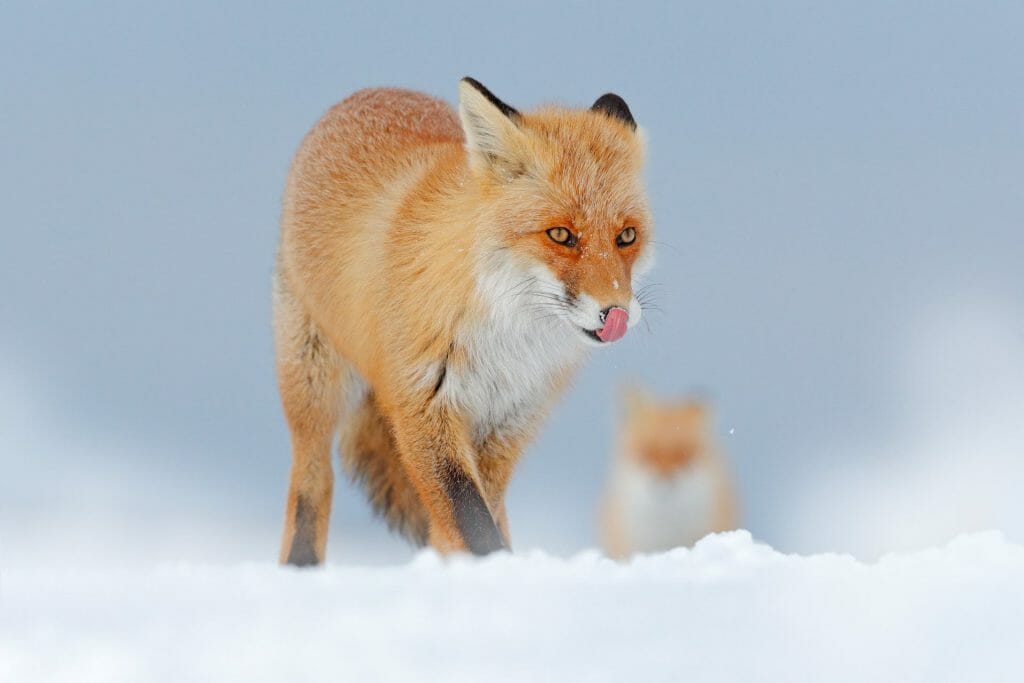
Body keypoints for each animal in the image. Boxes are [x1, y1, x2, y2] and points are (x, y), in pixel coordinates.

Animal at [274, 78, 654, 565]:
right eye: (561, 235)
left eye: (627, 236)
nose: (616, 313)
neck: (507, 344)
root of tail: (370, 92)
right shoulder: (423, 408)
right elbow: (473, 523)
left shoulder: (508, 422)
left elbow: (478, 518)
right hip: (313, 382)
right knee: (312, 482)